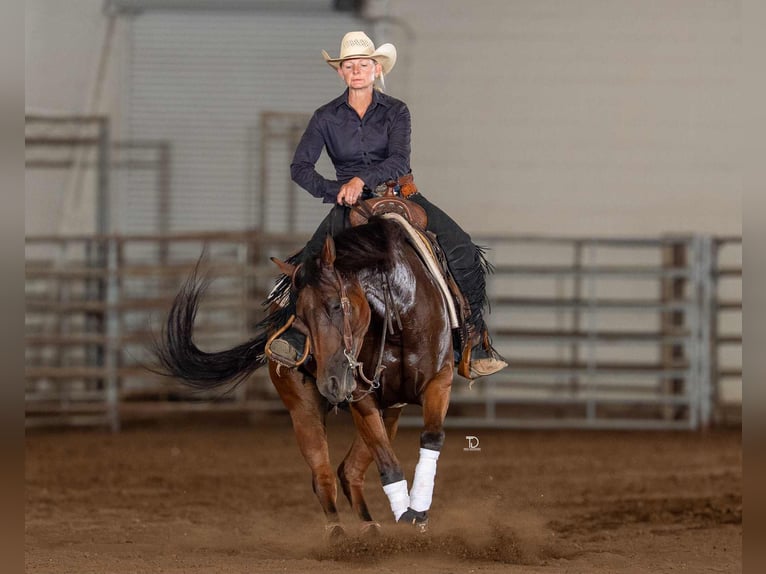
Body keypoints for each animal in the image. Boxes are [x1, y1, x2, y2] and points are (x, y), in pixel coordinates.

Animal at [155, 216, 455, 538]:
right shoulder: (360, 395)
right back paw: (339, 533)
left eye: (336, 305)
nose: (330, 383)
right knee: (323, 474)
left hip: (390, 411)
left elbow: (431, 437)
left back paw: (370, 527)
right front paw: (409, 517)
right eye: (299, 316)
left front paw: (417, 514)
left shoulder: (439, 380)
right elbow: (388, 463)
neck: (398, 311)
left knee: (349, 470)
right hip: (303, 407)